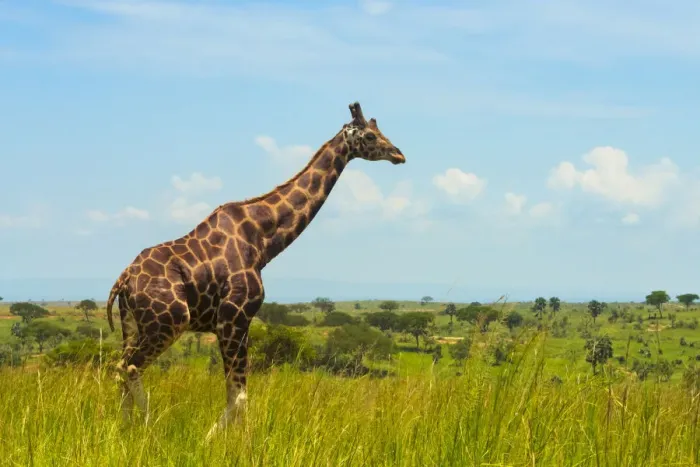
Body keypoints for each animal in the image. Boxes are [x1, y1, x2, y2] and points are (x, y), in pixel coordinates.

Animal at [105, 102, 406, 439]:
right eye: (370, 135)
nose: (398, 154)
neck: (263, 241)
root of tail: (123, 280)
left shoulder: (239, 322)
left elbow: (236, 394)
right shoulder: (233, 317)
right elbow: (239, 395)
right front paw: (216, 441)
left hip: (133, 324)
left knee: (119, 369)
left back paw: (123, 428)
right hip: (169, 320)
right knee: (131, 367)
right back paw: (149, 428)